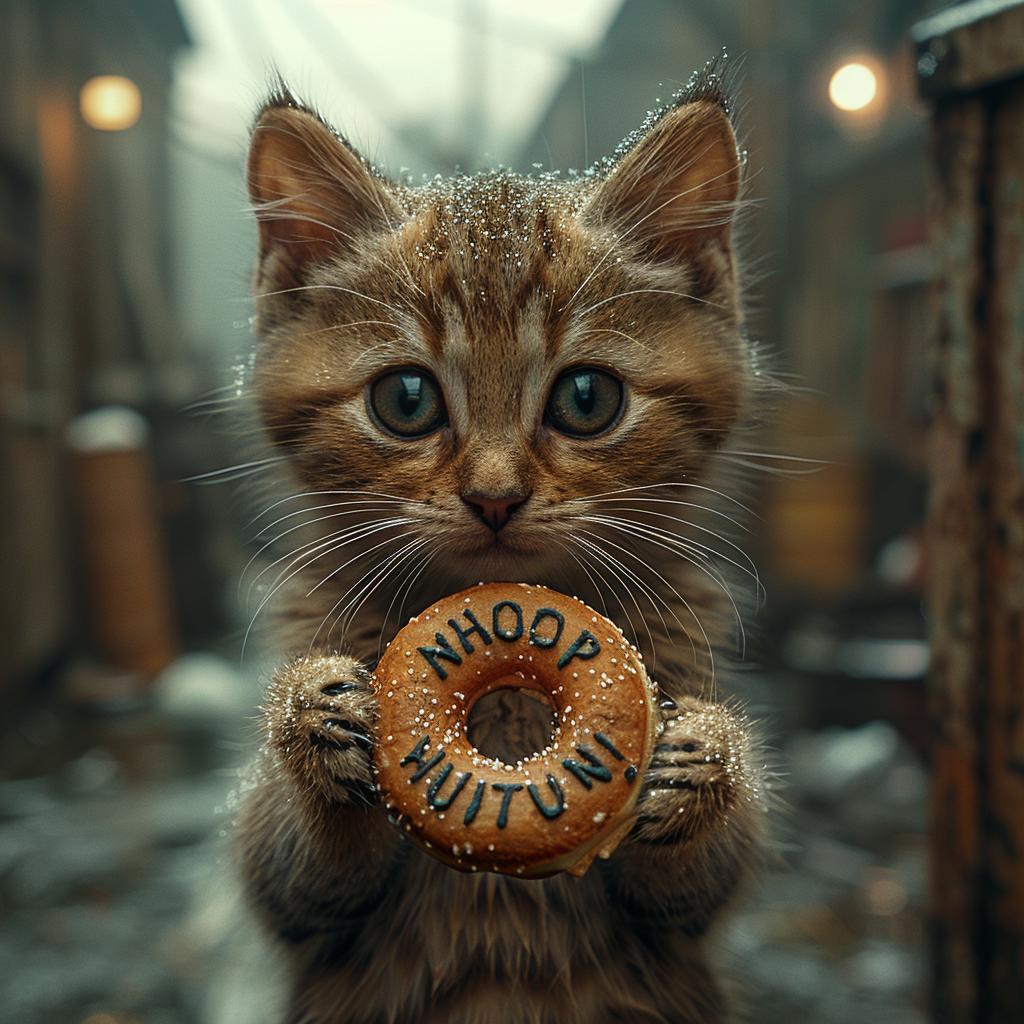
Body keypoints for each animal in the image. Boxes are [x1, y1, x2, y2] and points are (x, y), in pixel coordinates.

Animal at [235, 64, 770, 1024]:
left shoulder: (682, 925)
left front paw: (706, 758)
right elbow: (294, 869)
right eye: (406, 400)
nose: (494, 497)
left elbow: (694, 882)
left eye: (587, 399)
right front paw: (311, 718)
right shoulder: (298, 911)